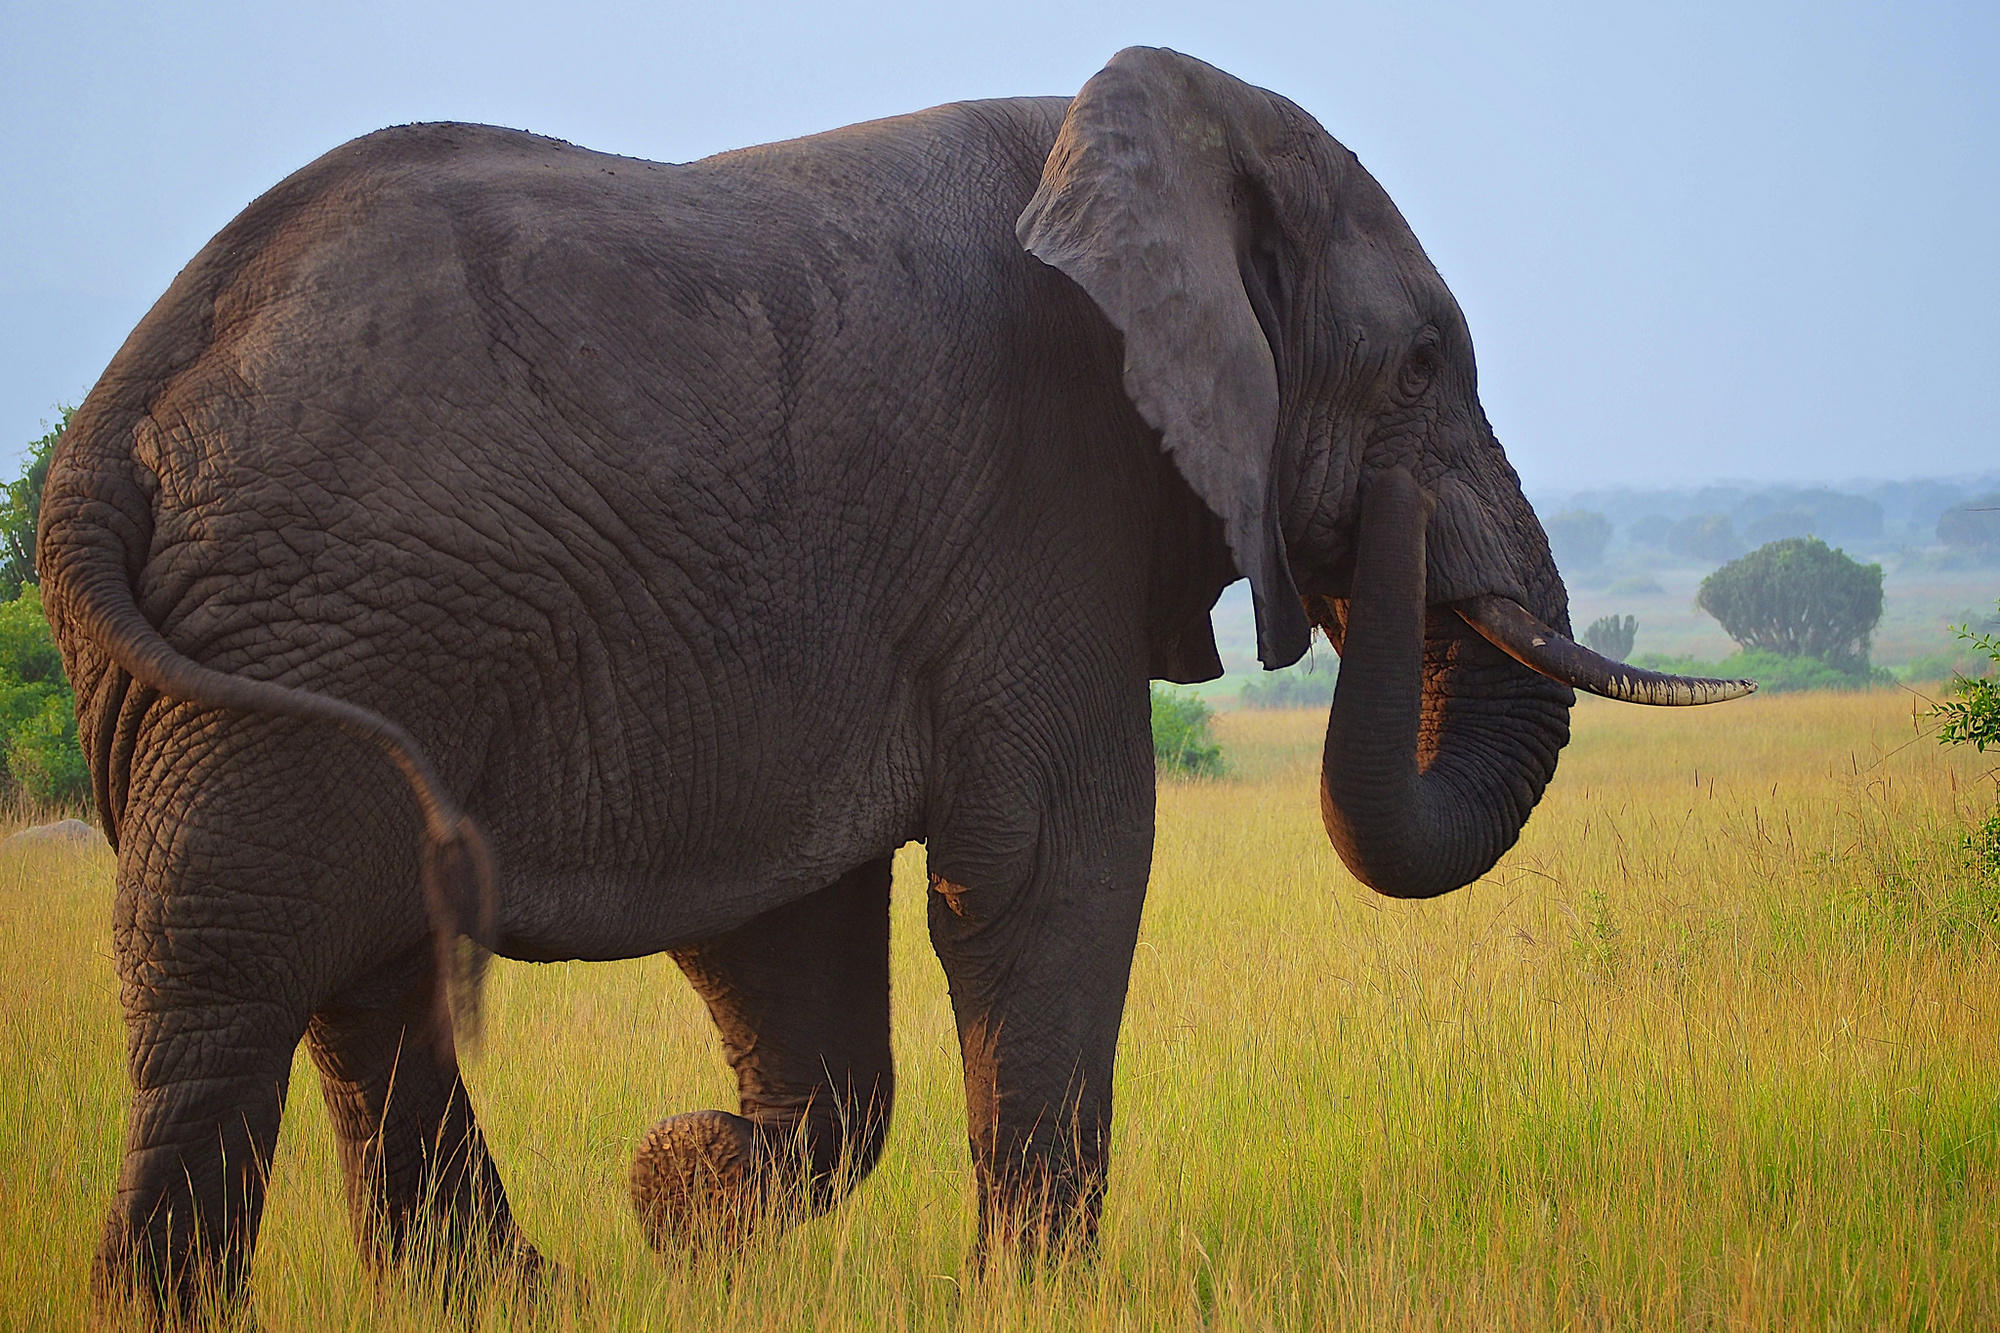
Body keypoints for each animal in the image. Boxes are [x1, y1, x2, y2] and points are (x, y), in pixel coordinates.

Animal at [39, 46, 1744, 1312]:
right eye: (1419, 369)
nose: (1387, 530)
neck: (1129, 143)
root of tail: (119, 415)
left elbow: (801, 957)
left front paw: (682, 1202)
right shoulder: (1047, 493)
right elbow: (1056, 868)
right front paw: (1034, 1301)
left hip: (317, 640)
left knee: (365, 976)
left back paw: (520, 1296)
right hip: (306, 630)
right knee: (235, 970)